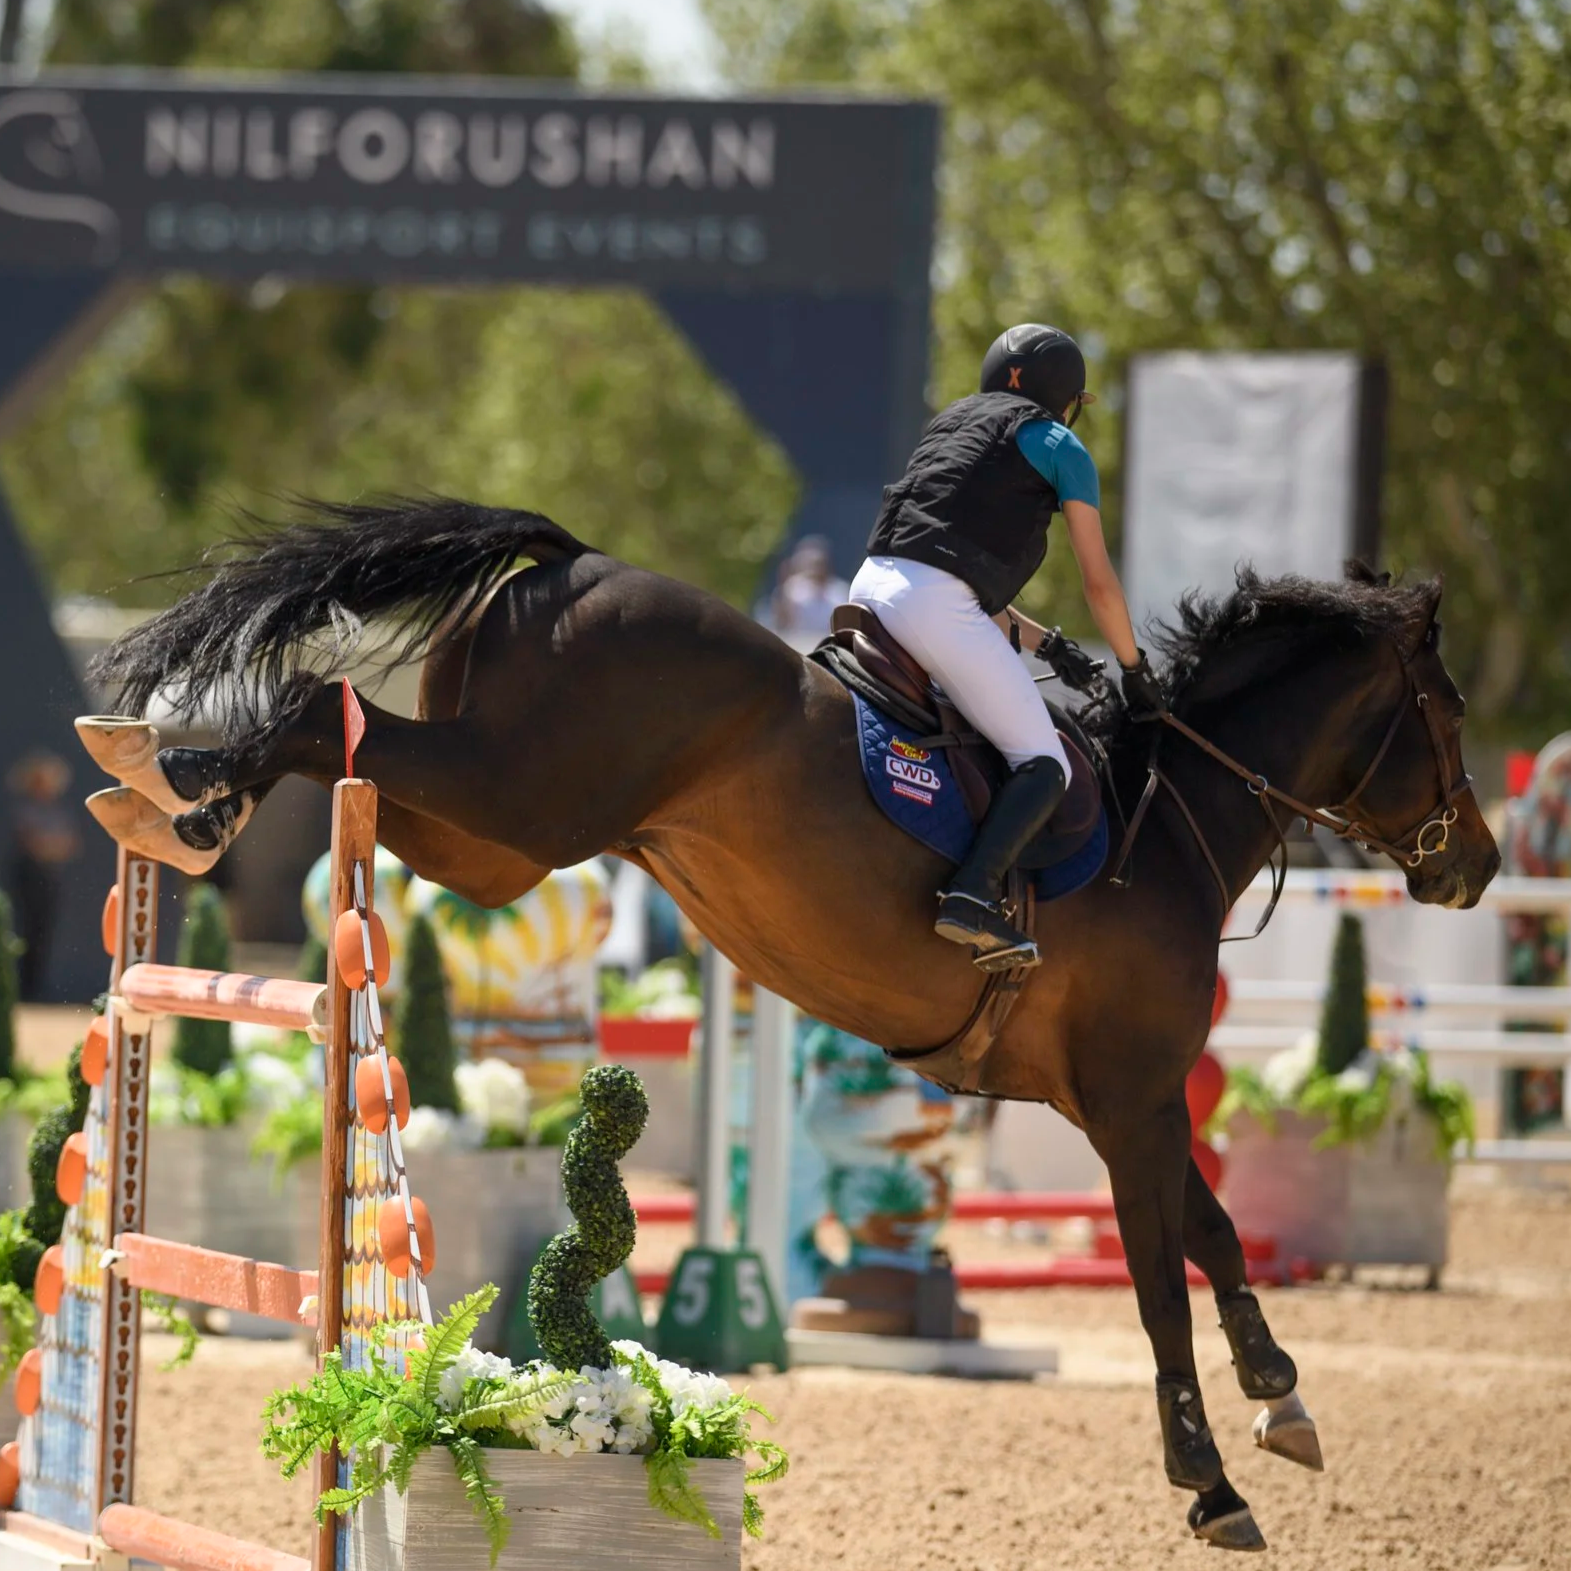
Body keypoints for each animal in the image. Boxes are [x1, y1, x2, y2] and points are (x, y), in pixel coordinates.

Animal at [77, 497, 1499, 1552]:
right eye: (1447, 712)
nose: (1474, 867)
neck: (1173, 811)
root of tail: (577, 562)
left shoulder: (1119, 1102)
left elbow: (1210, 1233)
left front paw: (1281, 1397)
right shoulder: (1132, 1098)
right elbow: (1161, 1281)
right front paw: (1210, 1479)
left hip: (498, 839)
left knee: (350, 744)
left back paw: (157, 788)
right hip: (518, 797)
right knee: (325, 715)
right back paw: (181, 786)